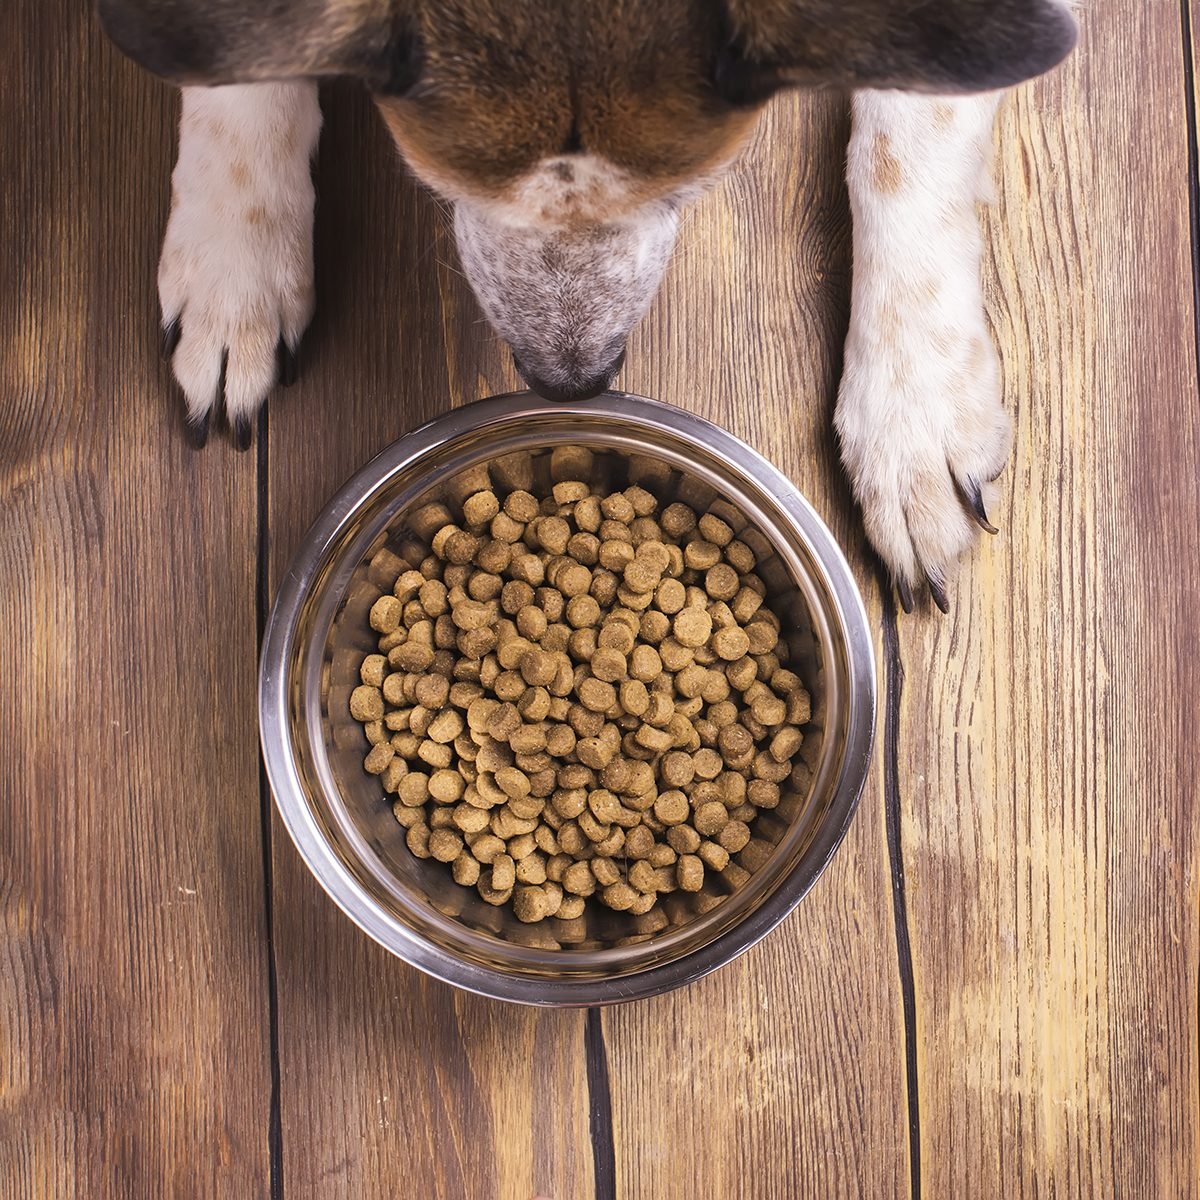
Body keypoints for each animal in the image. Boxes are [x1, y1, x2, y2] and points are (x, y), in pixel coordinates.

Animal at [93, 0, 1075, 609]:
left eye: (690, 191)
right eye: (437, 184)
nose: (572, 380)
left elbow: (910, 134)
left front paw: (914, 414)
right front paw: (234, 263)